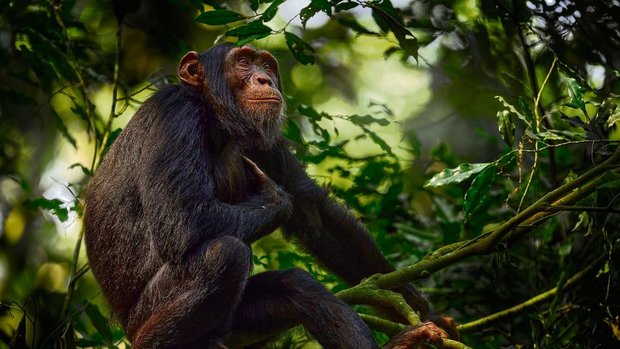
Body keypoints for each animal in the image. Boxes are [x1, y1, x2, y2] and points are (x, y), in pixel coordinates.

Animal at [83, 43, 450, 348]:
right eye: (244, 62)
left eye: (267, 65)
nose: (264, 79)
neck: (214, 118)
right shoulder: (173, 115)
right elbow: (182, 221)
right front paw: (275, 199)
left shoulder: (264, 140)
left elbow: (313, 213)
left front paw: (421, 308)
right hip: (146, 318)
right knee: (225, 254)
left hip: (239, 329)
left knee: (295, 286)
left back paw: (403, 342)